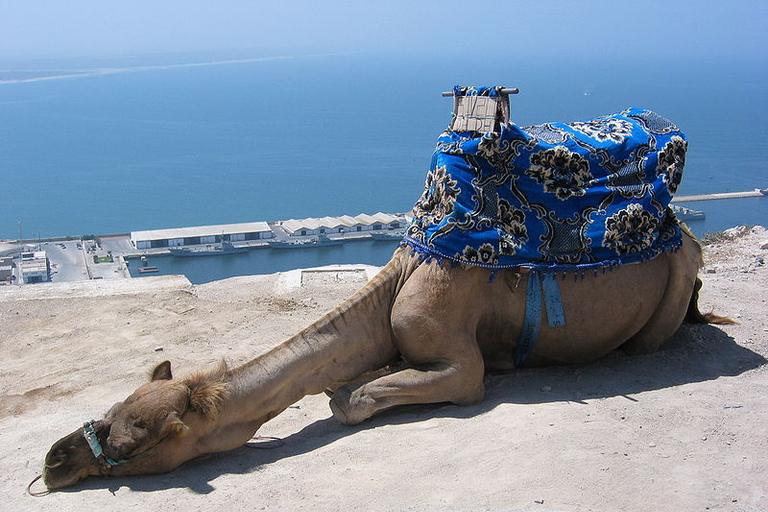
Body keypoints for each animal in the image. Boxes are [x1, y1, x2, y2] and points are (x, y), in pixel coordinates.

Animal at [40, 91, 728, 488]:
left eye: (136, 441)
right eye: (111, 410)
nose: (55, 458)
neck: (396, 287)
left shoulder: (459, 362)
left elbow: (353, 399)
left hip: (675, 280)